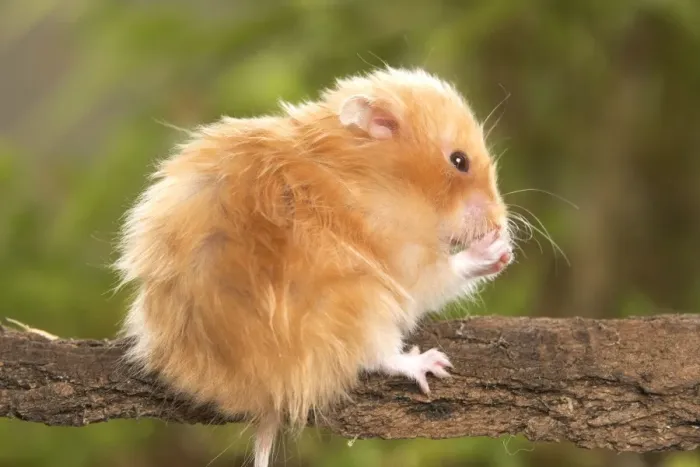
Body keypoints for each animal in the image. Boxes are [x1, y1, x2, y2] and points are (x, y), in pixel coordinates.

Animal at [115, 67, 513, 467]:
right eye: (459, 161)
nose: (500, 221)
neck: (375, 177)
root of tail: (267, 394)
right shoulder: (405, 258)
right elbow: (443, 275)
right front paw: (499, 249)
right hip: (364, 305)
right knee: (378, 356)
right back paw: (431, 363)